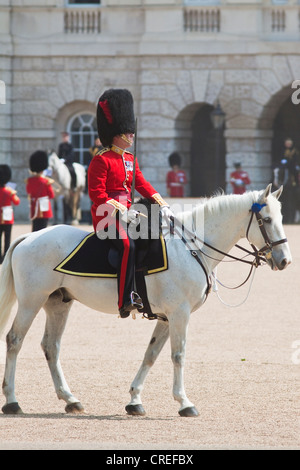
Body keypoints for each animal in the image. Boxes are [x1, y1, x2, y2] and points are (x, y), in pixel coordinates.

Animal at [0, 185, 292, 416]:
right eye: (266, 219)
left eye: (281, 217)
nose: (285, 261)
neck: (192, 247)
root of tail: (29, 237)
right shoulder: (179, 313)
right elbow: (178, 355)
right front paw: (184, 402)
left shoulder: (166, 317)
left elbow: (151, 355)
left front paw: (134, 399)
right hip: (31, 301)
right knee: (15, 340)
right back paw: (12, 400)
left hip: (58, 303)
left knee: (51, 346)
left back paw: (70, 399)